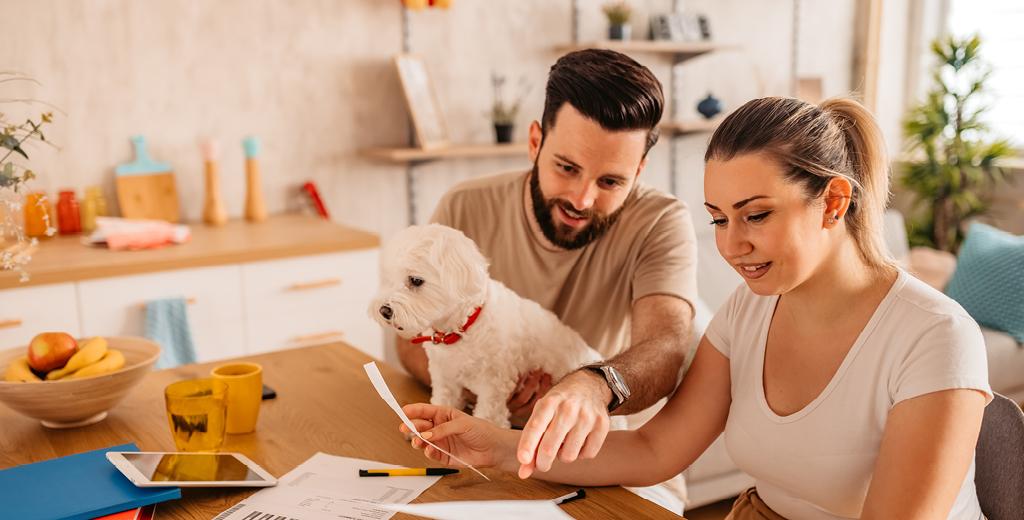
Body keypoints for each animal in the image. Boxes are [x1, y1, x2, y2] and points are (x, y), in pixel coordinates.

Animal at [370, 223, 602, 425]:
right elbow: (443, 401)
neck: (461, 331)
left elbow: (488, 419)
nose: (384, 310)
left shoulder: (494, 387)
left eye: (416, 280)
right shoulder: (445, 377)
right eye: (389, 277)